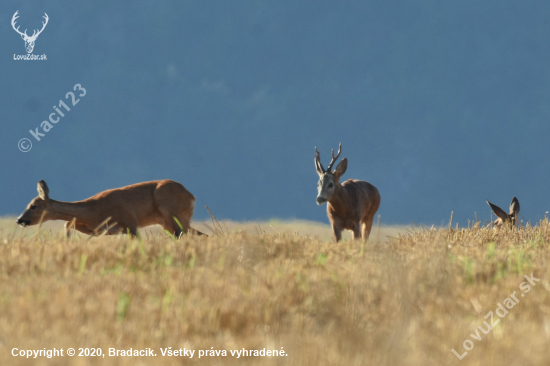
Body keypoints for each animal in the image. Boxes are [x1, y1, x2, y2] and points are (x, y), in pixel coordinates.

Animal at [16, 179, 205, 237]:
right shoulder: (98, 230)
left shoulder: (130, 223)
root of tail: (192, 196)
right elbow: (67, 223)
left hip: (173, 215)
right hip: (169, 223)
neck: (95, 210)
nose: (19, 220)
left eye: (33, 206)